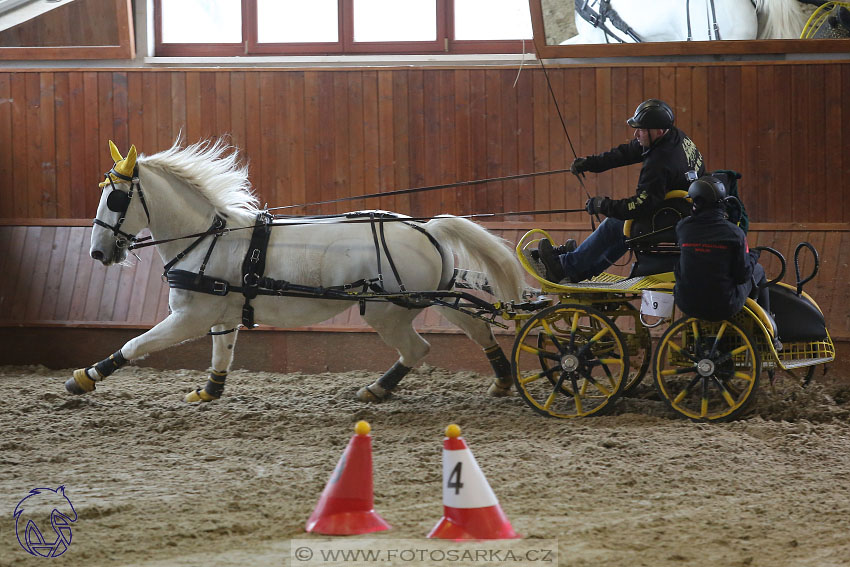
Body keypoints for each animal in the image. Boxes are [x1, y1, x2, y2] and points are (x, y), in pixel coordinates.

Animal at [66, 139, 528, 404]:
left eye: (116, 199)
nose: (97, 252)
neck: (210, 237)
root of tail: (426, 226)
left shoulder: (188, 317)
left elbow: (136, 344)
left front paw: (84, 377)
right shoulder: (219, 313)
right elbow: (222, 351)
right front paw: (210, 390)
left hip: (388, 310)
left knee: (418, 349)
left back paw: (377, 388)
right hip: (435, 296)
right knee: (477, 328)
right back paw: (502, 381)